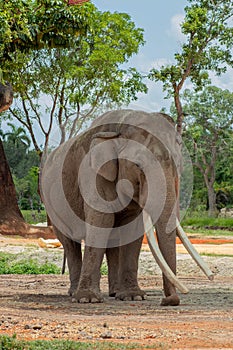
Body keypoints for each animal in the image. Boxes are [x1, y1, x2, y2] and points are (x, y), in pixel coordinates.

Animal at [40, 109, 213, 306]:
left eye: (178, 166)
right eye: (138, 166)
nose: (168, 300)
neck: (120, 127)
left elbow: (132, 228)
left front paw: (134, 296)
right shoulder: (92, 175)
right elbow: (101, 221)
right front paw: (87, 299)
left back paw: (114, 292)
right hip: (52, 206)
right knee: (70, 243)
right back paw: (74, 293)